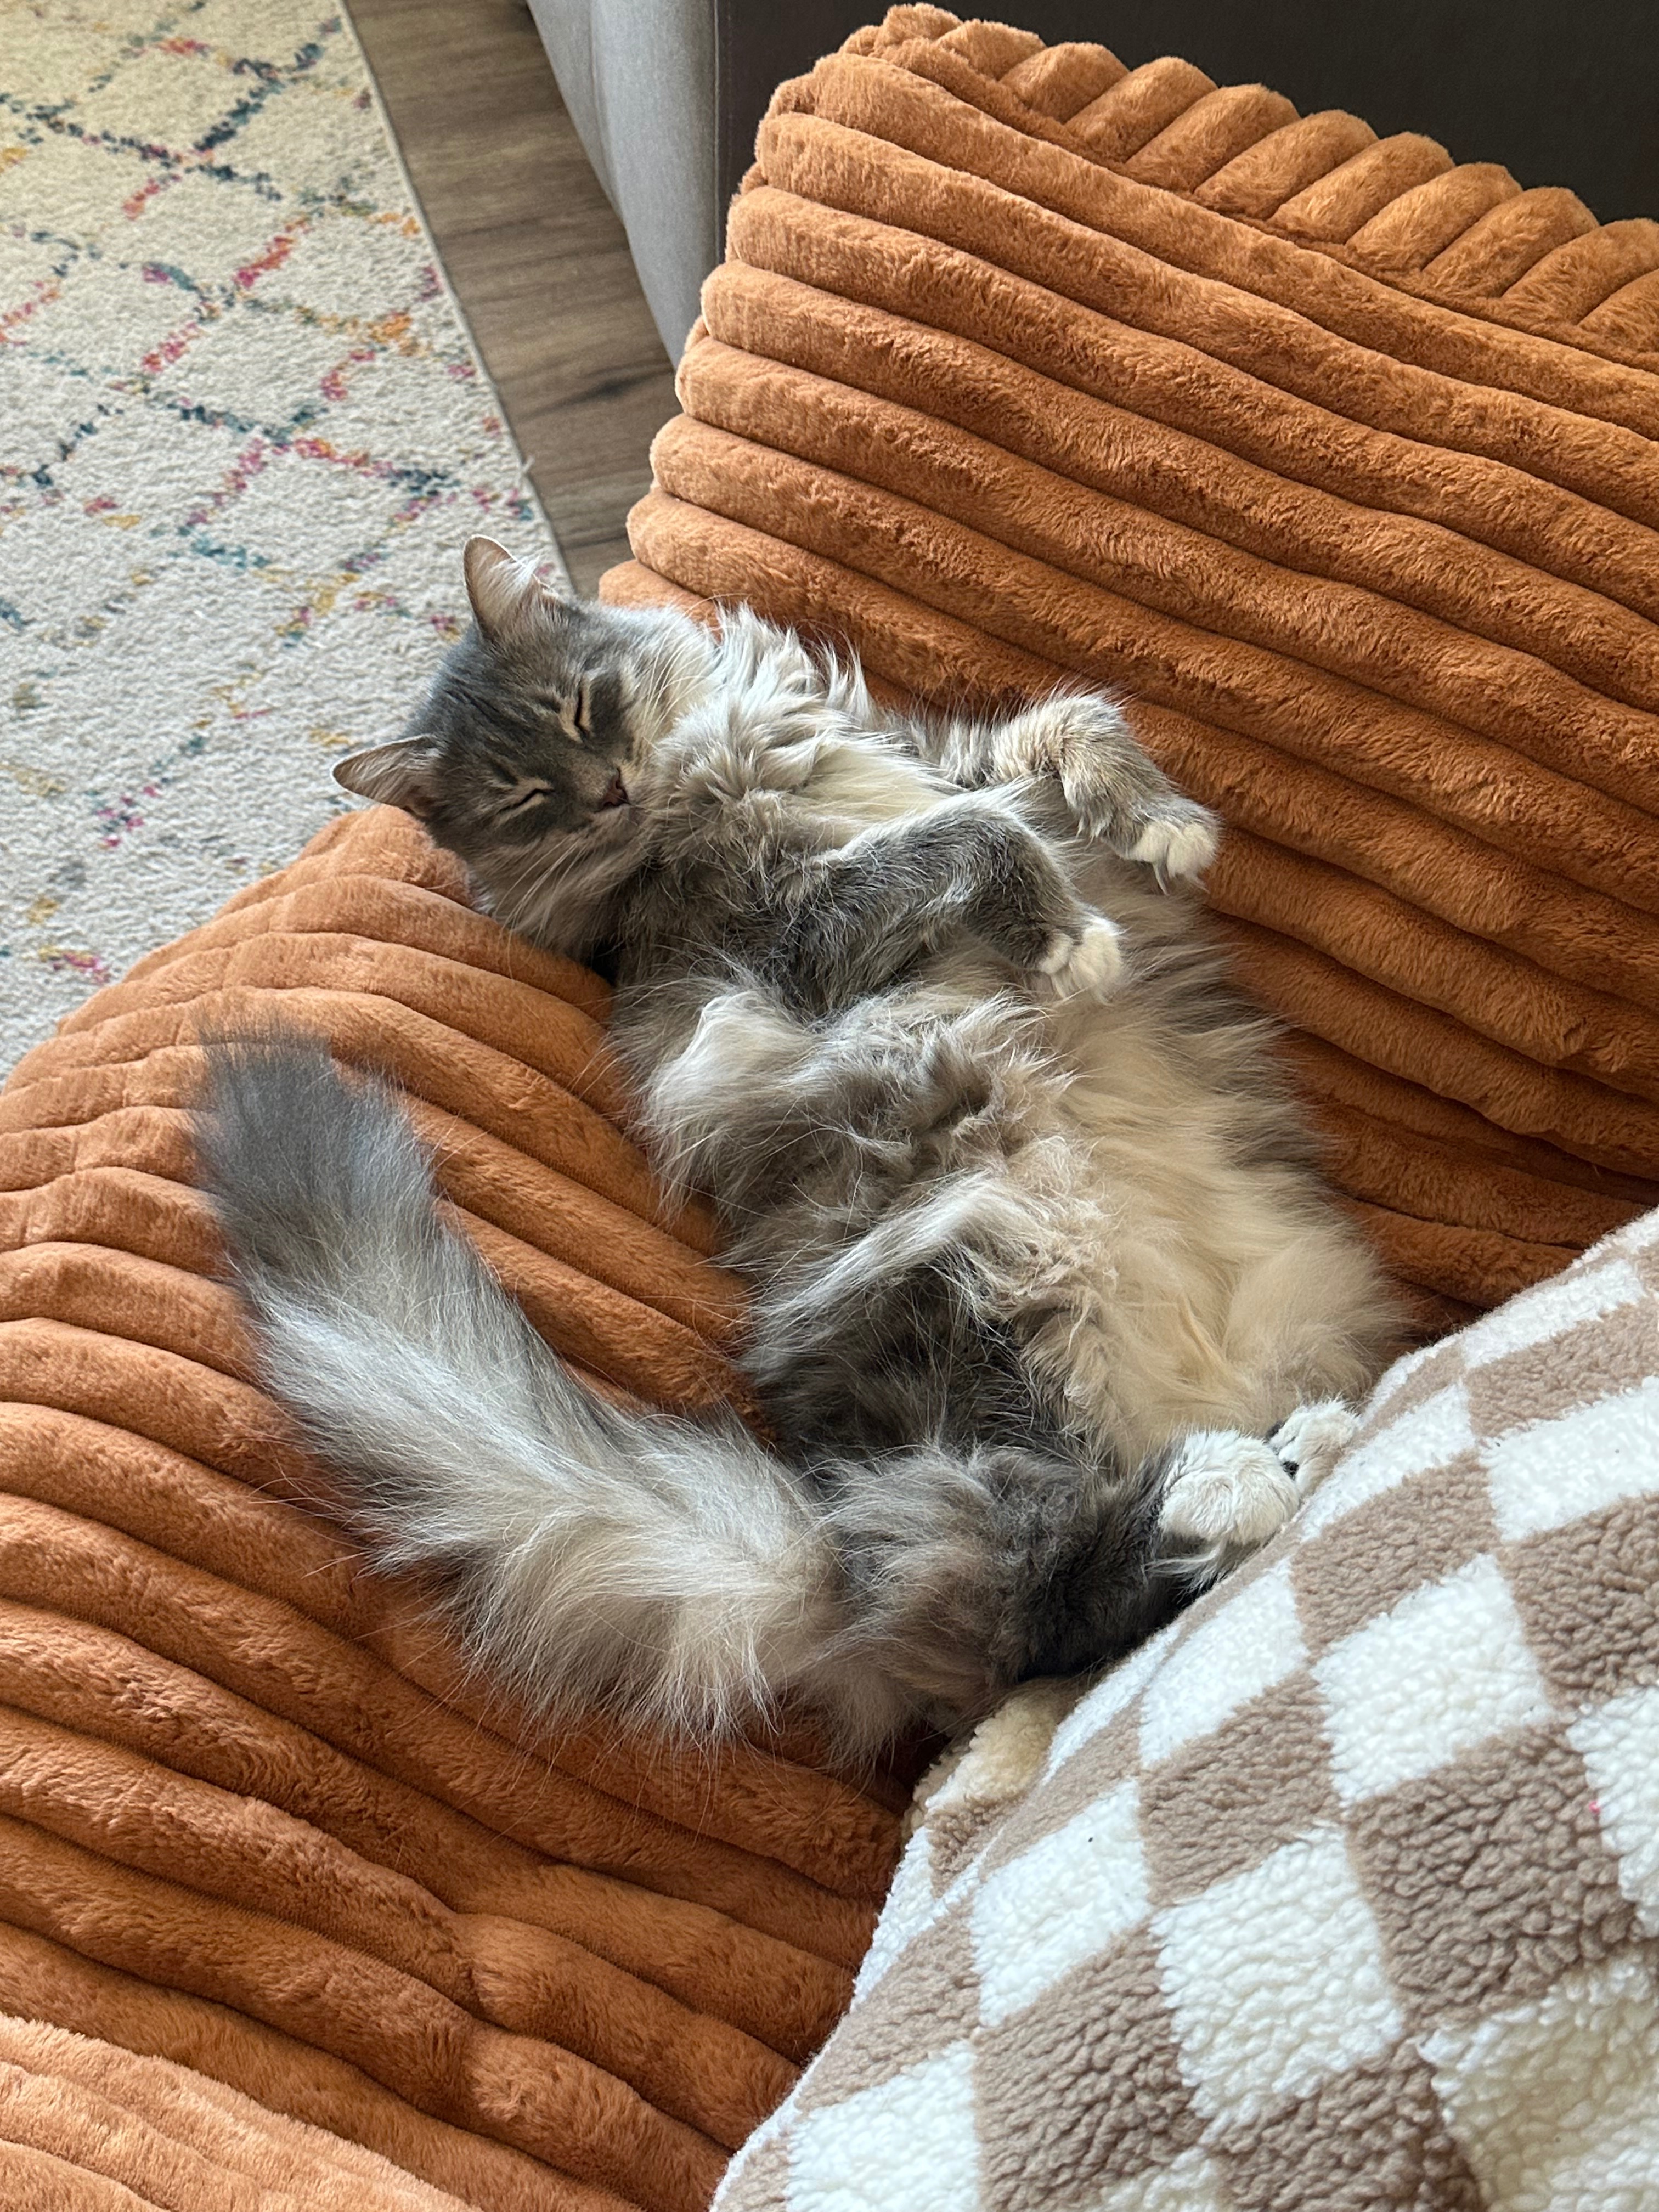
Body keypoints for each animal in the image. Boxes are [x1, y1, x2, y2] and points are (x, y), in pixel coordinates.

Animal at [197, 536, 1401, 1753]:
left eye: (584, 707)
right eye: (526, 798)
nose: (607, 787)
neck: (723, 754)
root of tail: (831, 1545)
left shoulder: (947, 755)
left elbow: (1069, 721)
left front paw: (1158, 820)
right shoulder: (779, 944)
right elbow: (973, 835)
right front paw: (1066, 940)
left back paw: (1300, 1445)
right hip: (972, 1301)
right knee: (1019, 1604)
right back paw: (1223, 1484)